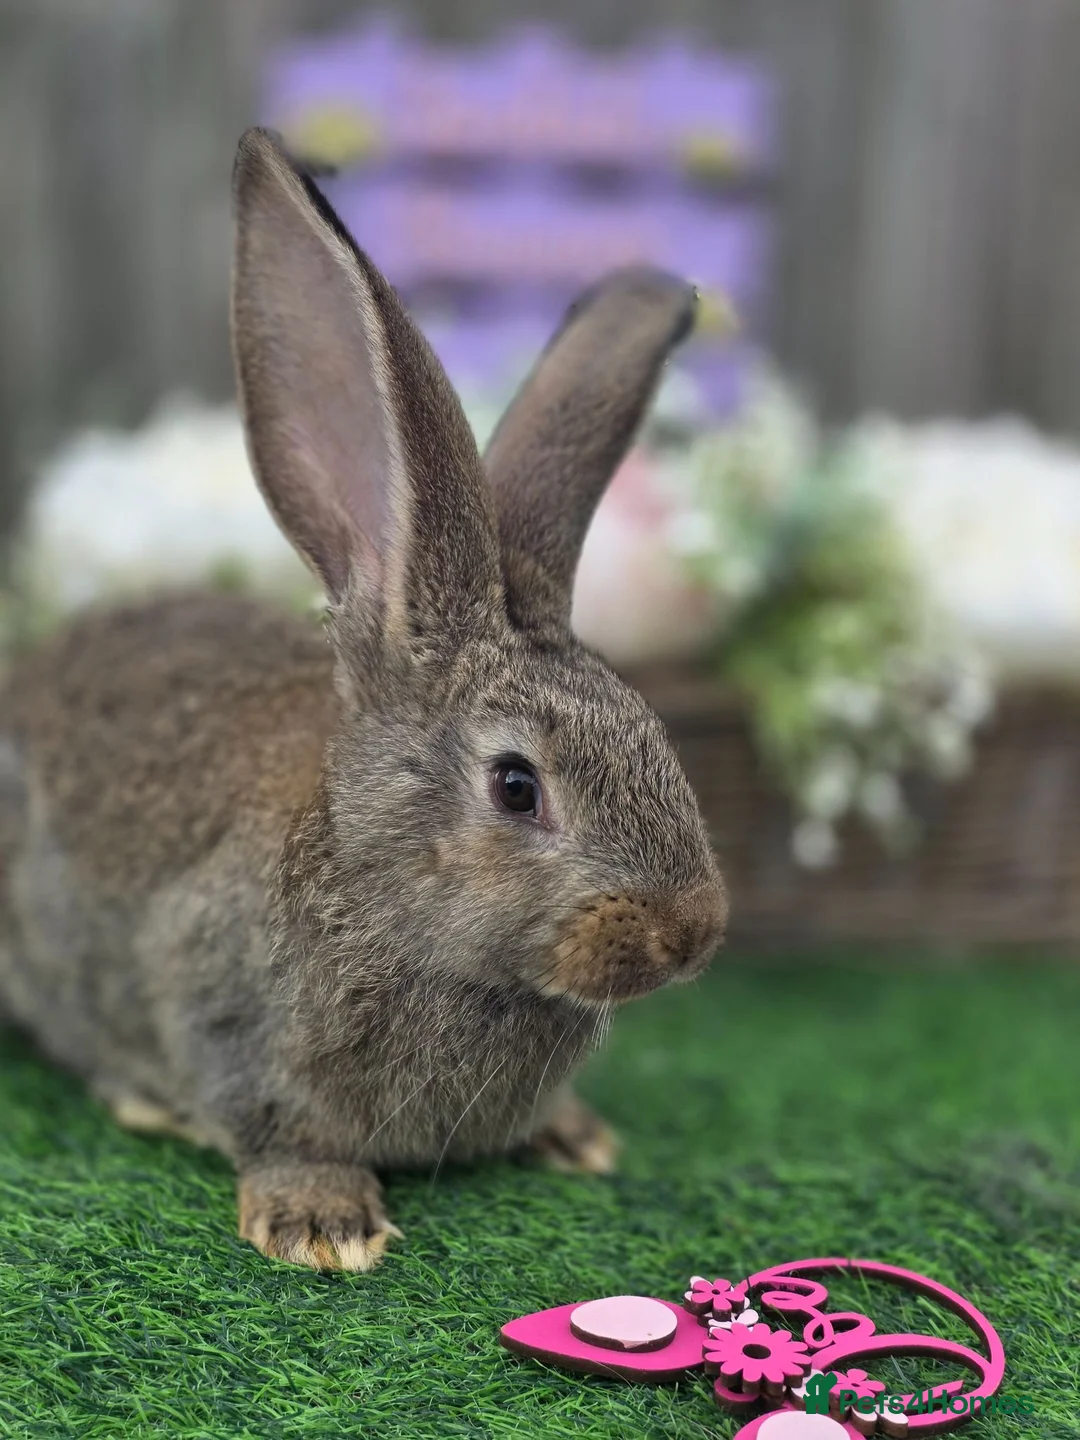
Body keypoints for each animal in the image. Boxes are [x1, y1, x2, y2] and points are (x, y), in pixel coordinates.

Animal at [0, 128, 727, 1272]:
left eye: (654, 733)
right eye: (516, 786)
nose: (691, 934)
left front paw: (574, 1138)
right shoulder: (216, 1010)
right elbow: (270, 1126)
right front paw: (323, 1222)